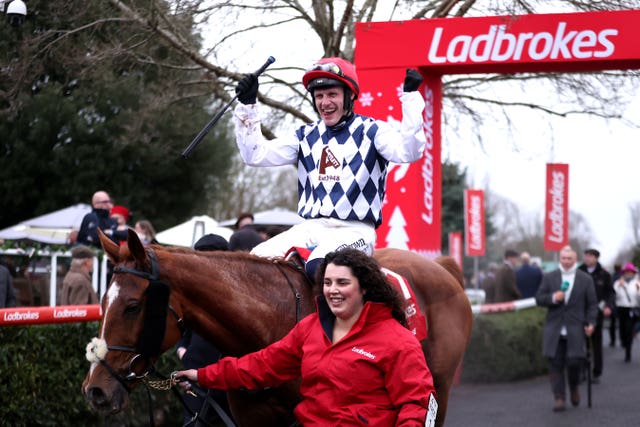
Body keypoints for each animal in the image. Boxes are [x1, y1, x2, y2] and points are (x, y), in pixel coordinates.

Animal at [82, 231, 472, 427]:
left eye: (133, 306)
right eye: (101, 302)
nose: (95, 390)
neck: (268, 322)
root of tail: (443, 266)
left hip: (437, 388)